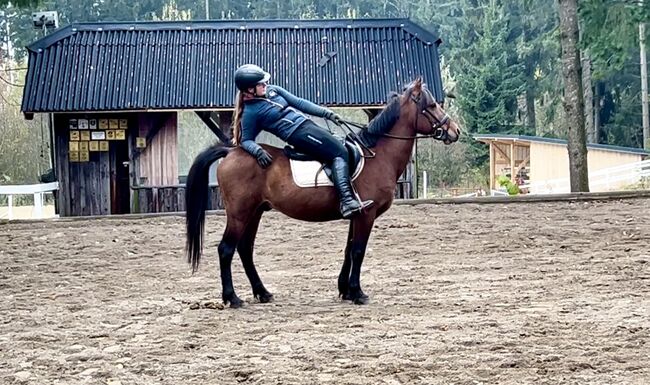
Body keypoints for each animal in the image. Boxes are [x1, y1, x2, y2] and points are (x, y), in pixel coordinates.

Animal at [184, 77, 460, 306]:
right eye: (432, 105)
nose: (455, 131)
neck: (378, 155)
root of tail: (232, 151)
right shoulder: (366, 215)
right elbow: (358, 251)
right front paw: (357, 293)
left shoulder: (356, 214)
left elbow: (349, 250)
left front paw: (345, 290)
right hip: (239, 214)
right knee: (226, 249)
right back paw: (232, 298)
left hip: (255, 212)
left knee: (245, 249)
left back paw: (262, 293)